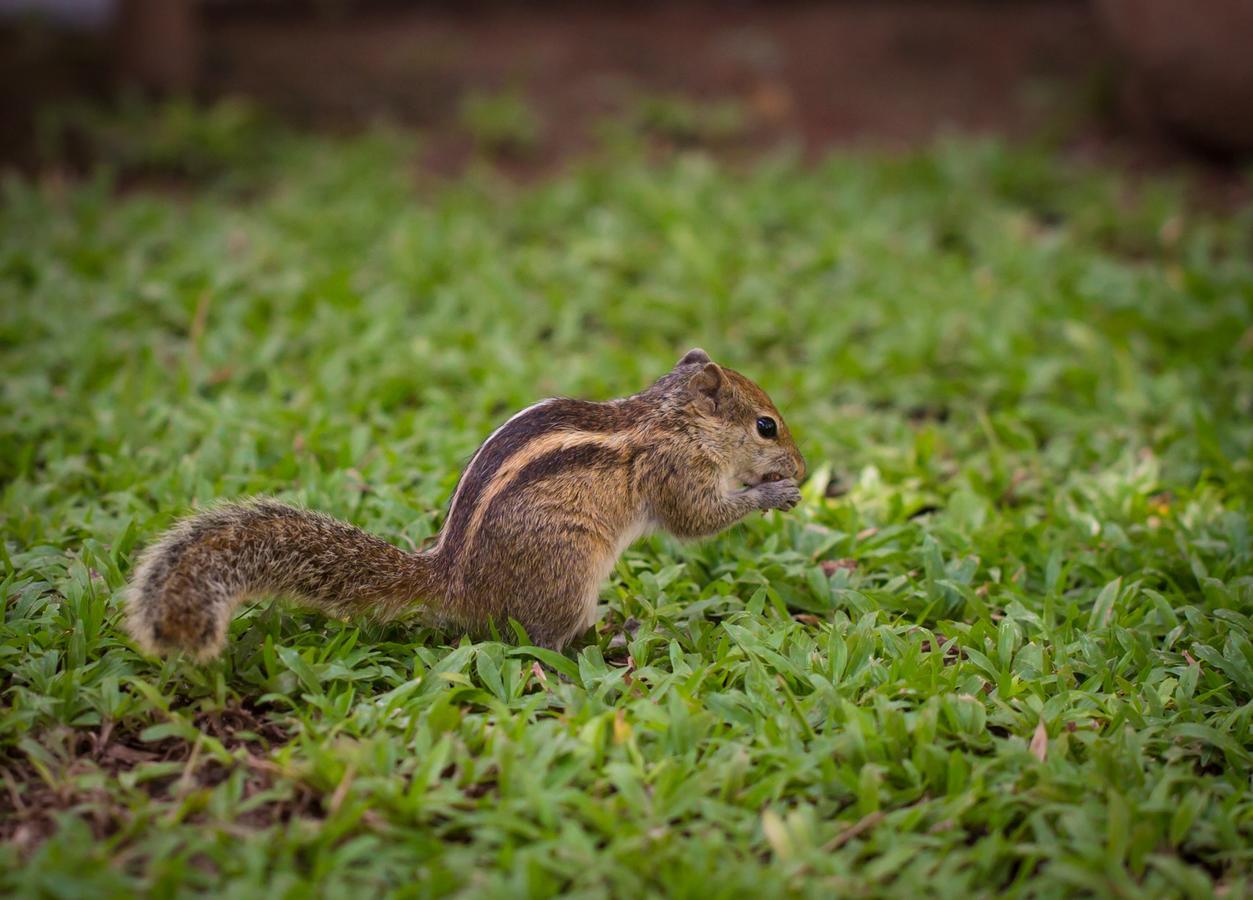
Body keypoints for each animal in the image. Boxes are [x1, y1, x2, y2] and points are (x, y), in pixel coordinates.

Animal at [124, 350, 801, 661]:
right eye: (766, 426)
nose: (800, 464)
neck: (672, 419)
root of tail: (453, 578)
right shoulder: (675, 471)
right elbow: (695, 521)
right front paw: (774, 492)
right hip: (568, 571)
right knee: (541, 642)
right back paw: (610, 636)